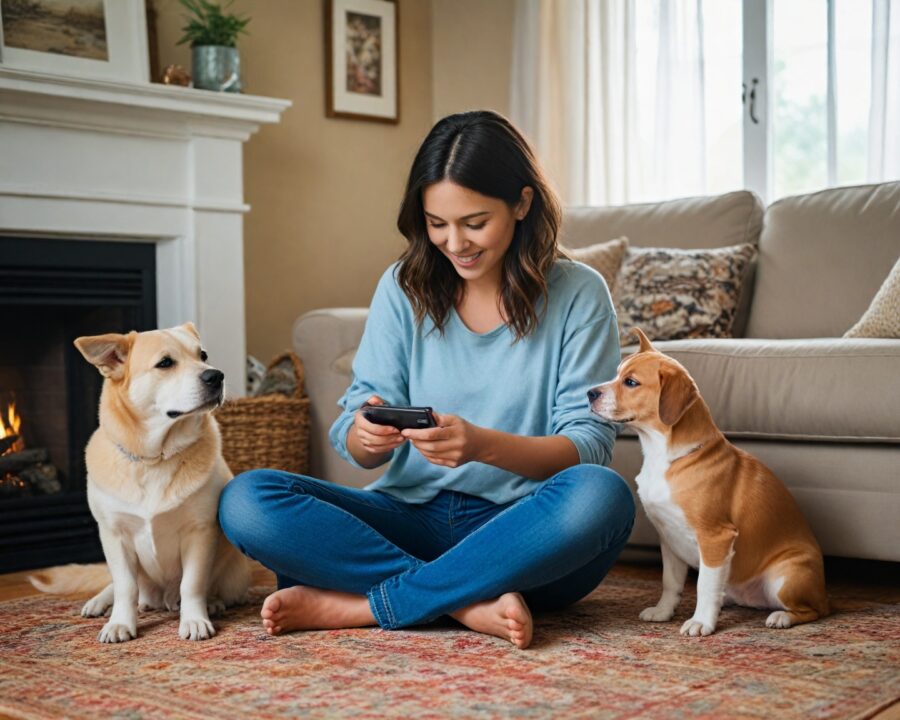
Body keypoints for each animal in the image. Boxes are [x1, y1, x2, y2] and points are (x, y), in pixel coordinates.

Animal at [28, 324, 250, 644]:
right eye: (165, 363)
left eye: (203, 355)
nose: (216, 376)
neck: (154, 458)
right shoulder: (115, 535)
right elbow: (125, 586)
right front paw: (120, 622)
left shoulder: (198, 532)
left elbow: (192, 584)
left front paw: (194, 619)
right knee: (116, 585)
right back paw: (99, 602)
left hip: (234, 576)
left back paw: (212, 603)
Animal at [592, 326, 828, 636]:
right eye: (617, 373)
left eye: (631, 382)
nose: (589, 392)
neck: (664, 456)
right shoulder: (668, 539)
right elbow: (670, 583)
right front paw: (663, 612)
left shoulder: (715, 538)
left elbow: (704, 585)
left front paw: (701, 621)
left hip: (786, 576)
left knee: (813, 610)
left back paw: (782, 617)